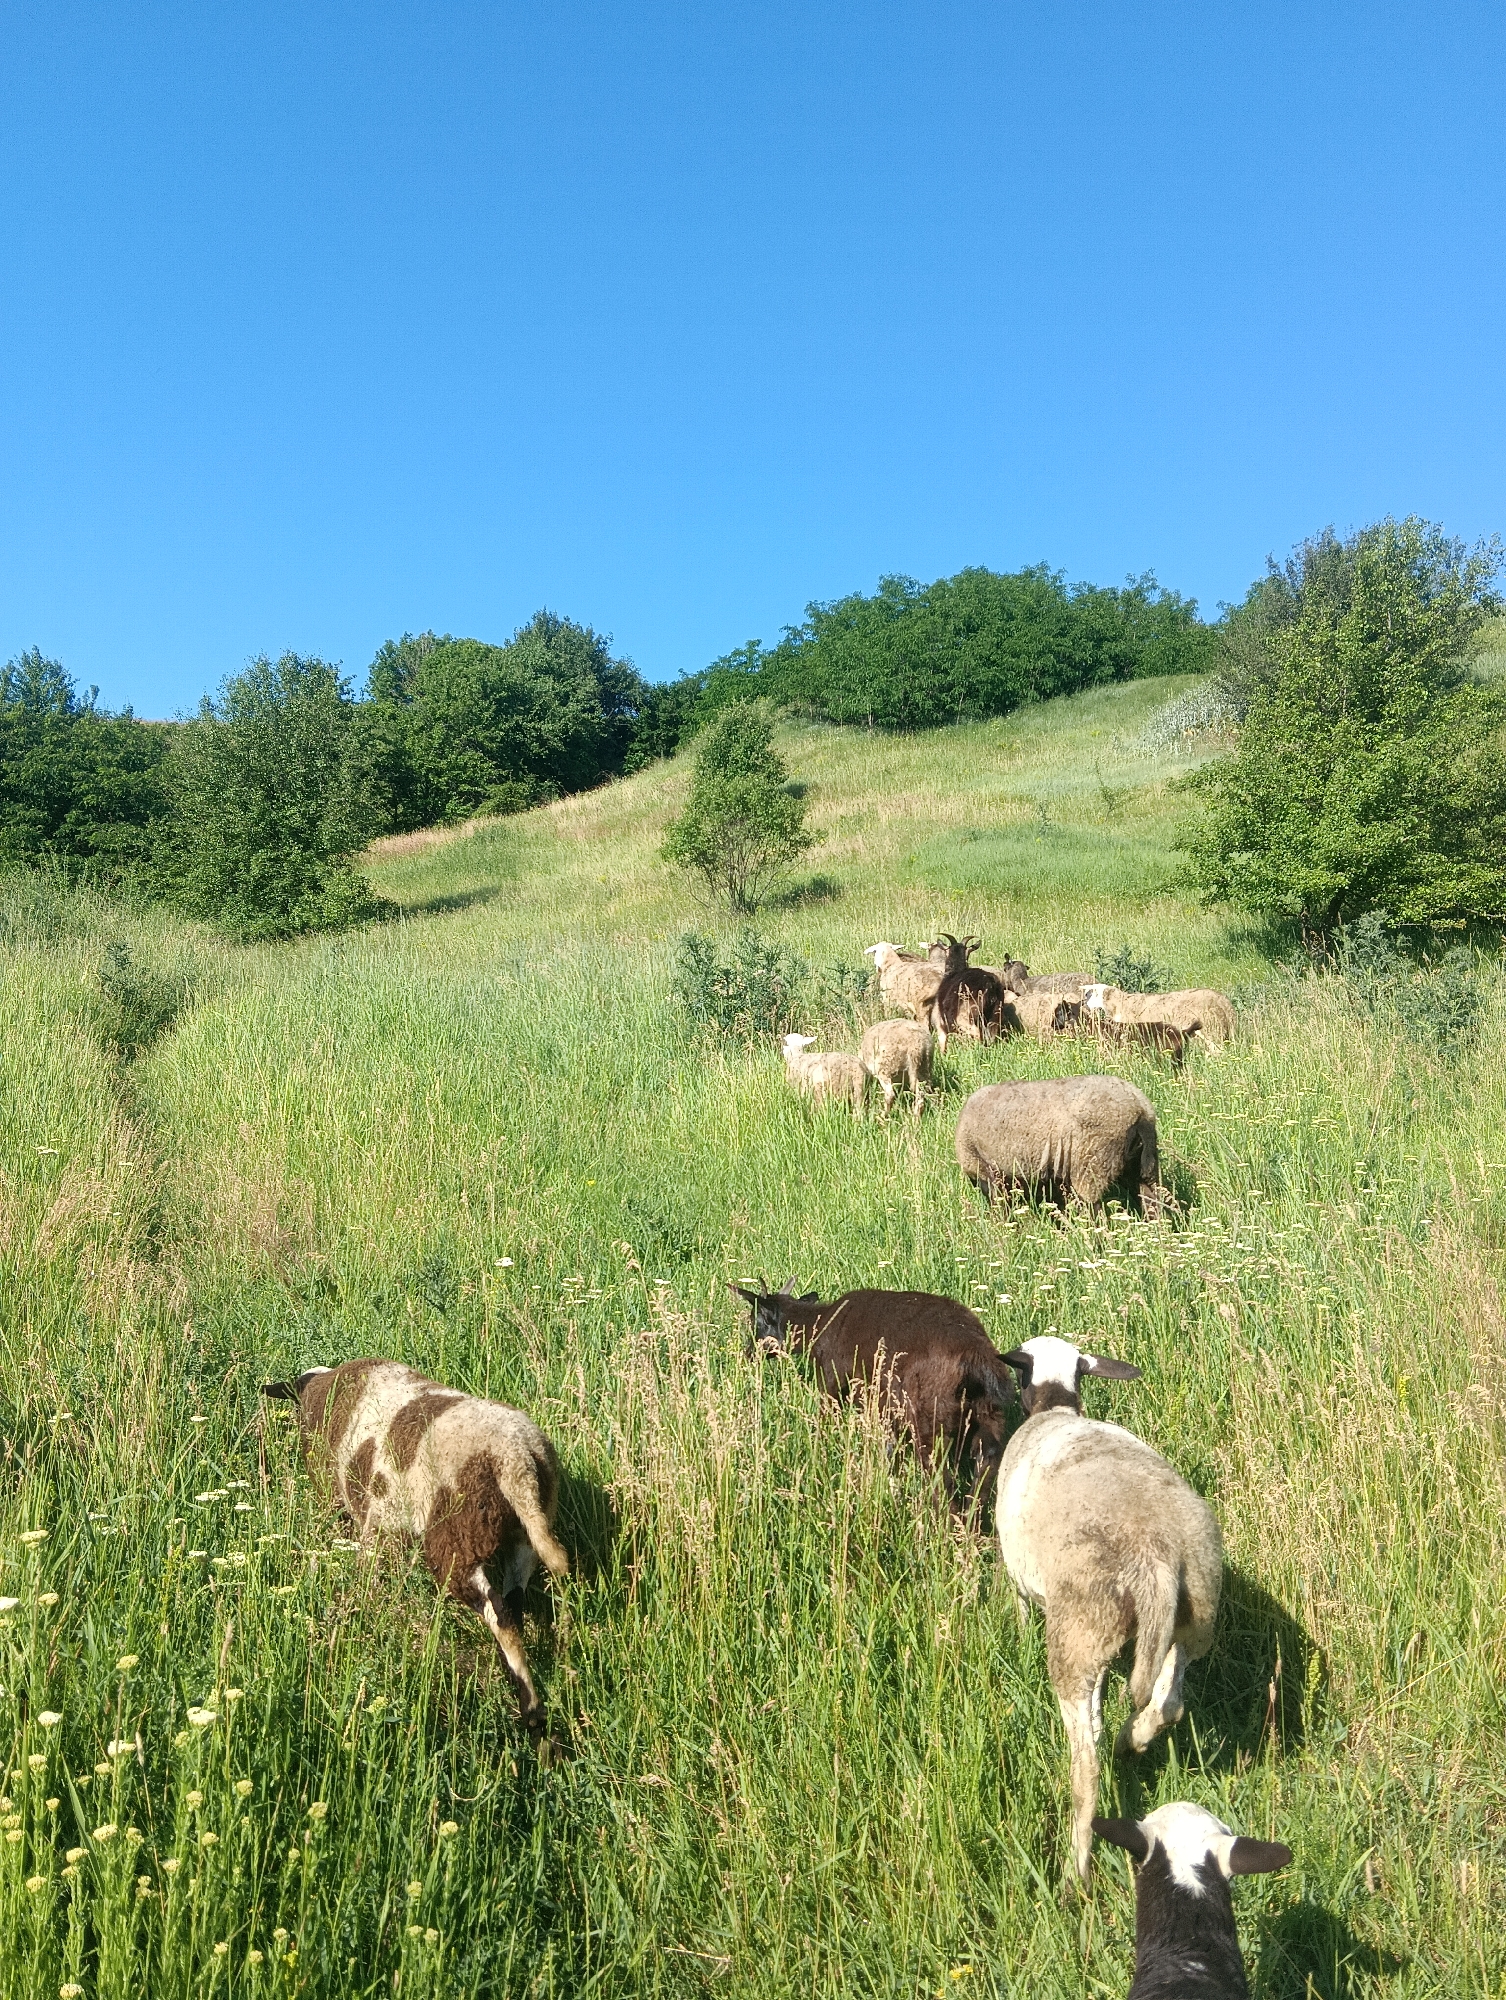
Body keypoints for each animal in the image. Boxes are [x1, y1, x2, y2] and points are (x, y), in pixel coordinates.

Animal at [262, 1360, 569, 1730]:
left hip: (455, 1542)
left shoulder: (368, 1521)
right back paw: (529, 1706)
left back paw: (531, 1708)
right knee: (513, 1607)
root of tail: (516, 1460)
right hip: (523, 1539)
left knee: (500, 1615)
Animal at [731, 1282, 1017, 1510]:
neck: (819, 1325)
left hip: (928, 1418)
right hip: (989, 1414)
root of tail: (976, 1357)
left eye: (756, 1321)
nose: (748, 1354)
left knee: (940, 1476)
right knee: (987, 1461)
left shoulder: (832, 1382)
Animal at [954, 1075, 1161, 1215]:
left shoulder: (986, 1172)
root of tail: (1139, 1109)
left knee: (1095, 1213)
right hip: (1142, 1167)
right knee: (1153, 1203)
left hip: (1092, 1167)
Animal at [996, 1336, 1223, 1887]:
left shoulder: (1015, 1571)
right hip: (1194, 1619)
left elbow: (1017, 1612)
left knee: (1087, 1765)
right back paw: (1131, 1739)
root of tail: (1156, 1553)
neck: (1056, 1408)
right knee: (1167, 1703)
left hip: (1080, 1635)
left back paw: (1075, 1871)